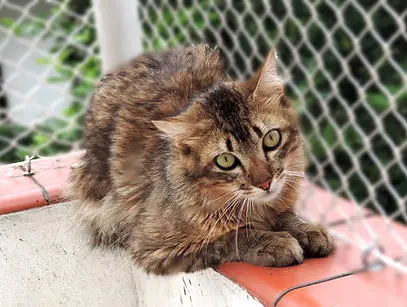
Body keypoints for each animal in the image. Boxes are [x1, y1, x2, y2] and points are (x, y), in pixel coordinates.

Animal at [66, 42, 334, 274]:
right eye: (226, 161)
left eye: (271, 139)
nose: (265, 183)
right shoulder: (156, 247)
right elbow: (232, 237)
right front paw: (274, 242)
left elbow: (285, 215)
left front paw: (306, 229)